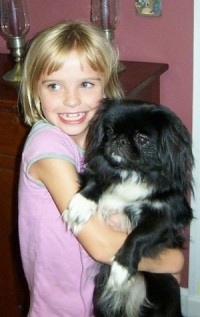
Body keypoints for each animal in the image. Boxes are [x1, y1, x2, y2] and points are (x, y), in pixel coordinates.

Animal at [63, 99, 194, 316]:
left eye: (142, 140)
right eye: (109, 131)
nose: (119, 141)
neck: (131, 173)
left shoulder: (166, 216)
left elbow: (138, 236)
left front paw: (122, 268)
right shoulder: (99, 173)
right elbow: (96, 180)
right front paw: (81, 205)